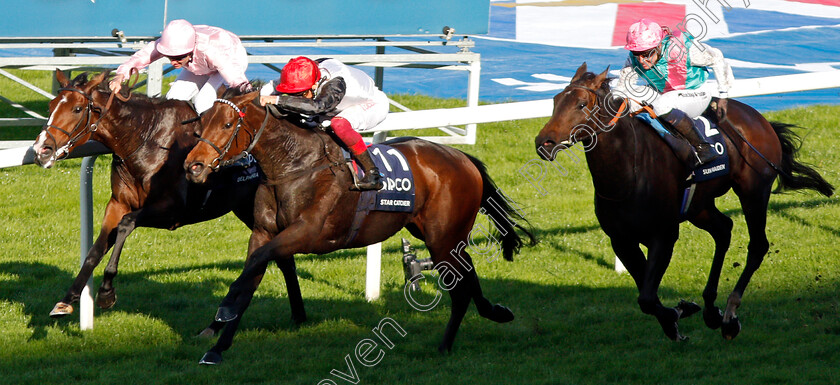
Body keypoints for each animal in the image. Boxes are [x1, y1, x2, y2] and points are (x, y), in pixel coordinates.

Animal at [31, 72, 306, 332]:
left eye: (77, 109)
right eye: (51, 105)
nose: (42, 149)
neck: (146, 140)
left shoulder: (171, 211)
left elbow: (126, 225)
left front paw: (106, 292)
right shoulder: (117, 203)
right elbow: (95, 249)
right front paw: (67, 300)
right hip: (248, 209)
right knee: (284, 259)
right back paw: (297, 315)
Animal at [185, 86, 540, 364]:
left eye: (228, 123)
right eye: (201, 122)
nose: (193, 166)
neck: (294, 165)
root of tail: (464, 158)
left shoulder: (305, 232)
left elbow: (254, 268)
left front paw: (223, 311)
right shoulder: (263, 232)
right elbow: (250, 278)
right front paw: (217, 347)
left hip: (443, 237)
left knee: (460, 288)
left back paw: (445, 346)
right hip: (439, 234)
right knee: (467, 276)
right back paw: (494, 312)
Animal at [536, 63, 832, 340]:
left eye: (581, 104)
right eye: (555, 100)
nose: (544, 142)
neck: (628, 172)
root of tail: (760, 119)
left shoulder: (663, 235)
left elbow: (646, 297)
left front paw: (678, 315)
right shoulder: (621, 240)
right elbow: (647, 296)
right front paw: (678, 313)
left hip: (753, 191)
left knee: (757, 245)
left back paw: (730, 316)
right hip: (698, 206)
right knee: (723, 230)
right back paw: (712, 309)